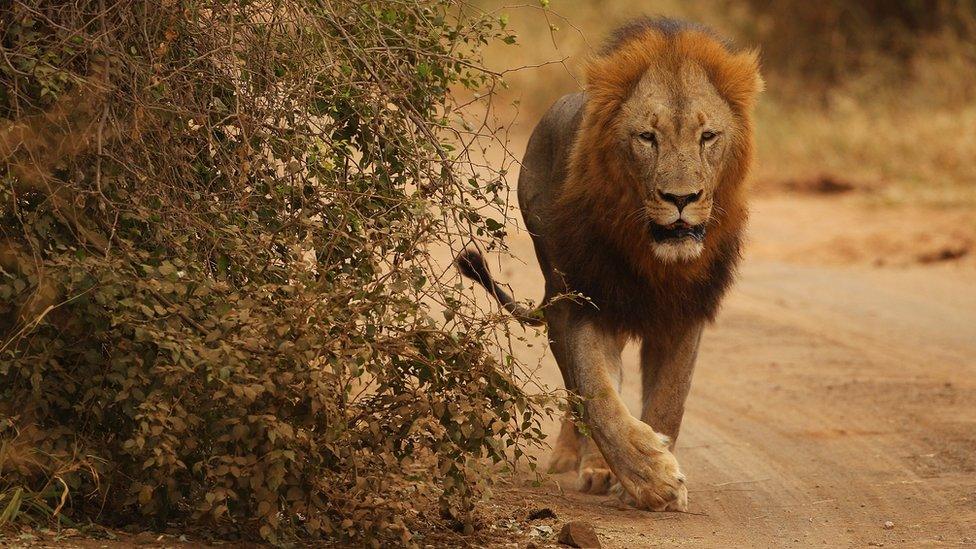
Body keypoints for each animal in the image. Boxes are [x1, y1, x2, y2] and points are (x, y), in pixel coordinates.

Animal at [456, 18, 764, 512]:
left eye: (708, 137)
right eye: (647, 137)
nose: (681, 199)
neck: (652, 258)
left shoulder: (684, 313)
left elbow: (670, 400)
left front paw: (656, 474)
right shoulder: (584, 303)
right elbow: (595, 394)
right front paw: (650, 476)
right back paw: (590, 463)